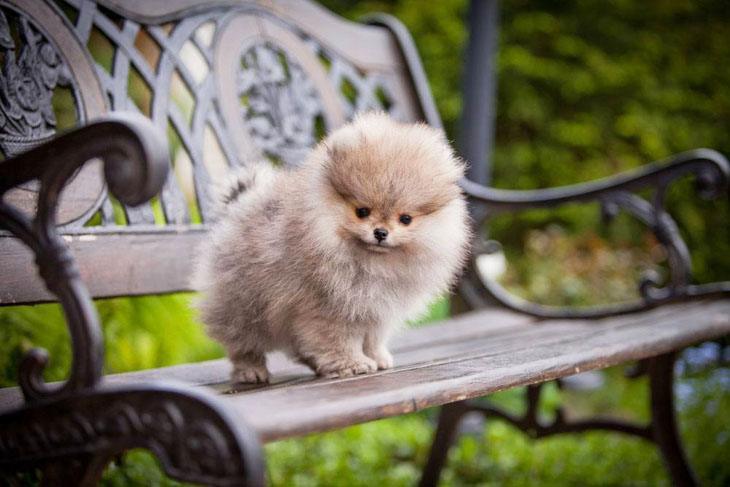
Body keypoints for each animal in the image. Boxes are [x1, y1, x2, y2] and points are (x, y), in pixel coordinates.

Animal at [192, 112, 466, 384]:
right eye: (362, 212)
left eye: (406, 219)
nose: (380, 232)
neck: (371, 263)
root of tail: (240, 206)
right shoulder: (328, 308)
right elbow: (339, 340)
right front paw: (353, 364)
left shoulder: (374, 309)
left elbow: (372, 337)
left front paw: (376, 357)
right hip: (244, 302)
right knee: (242, 340)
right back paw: (251, 370)